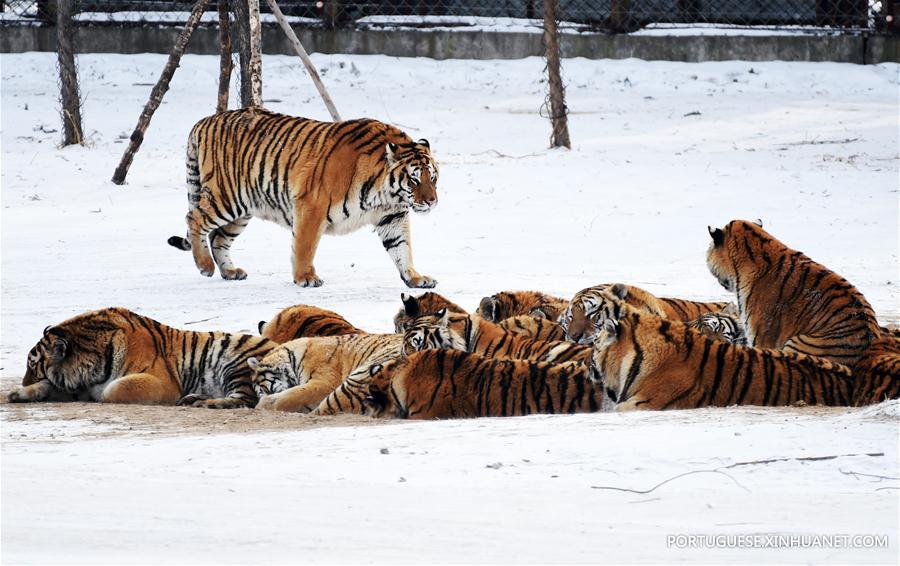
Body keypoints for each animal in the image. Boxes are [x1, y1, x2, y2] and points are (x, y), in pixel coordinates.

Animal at [8, 307, 274, 408]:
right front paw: (18, 393)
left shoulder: (163, 383)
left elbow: (114, 389)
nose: (22, 382)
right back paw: (193, 398)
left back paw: (202, 403)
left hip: (236, 365)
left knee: (244, 399)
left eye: (33, 364)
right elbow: (47, 386)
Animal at [167, 108, 439, 288]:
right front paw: (305, 278)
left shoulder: (392, 216)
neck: (384, 195)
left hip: (242, 210)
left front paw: (415, 278)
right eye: (414, 180)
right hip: (226, 197)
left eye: (433, 178)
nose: (431, 201)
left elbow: (402, 248)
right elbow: (304, 246)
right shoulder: (312, 206)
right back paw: (205, 266)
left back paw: (230, 271)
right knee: (194, 219)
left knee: (218, 238)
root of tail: (204, 120)